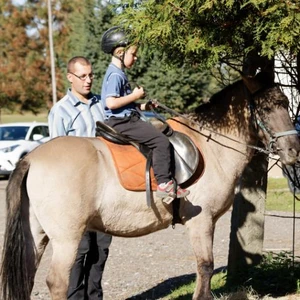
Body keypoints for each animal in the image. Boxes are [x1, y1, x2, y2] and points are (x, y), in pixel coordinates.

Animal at [1, 71, 300, 298]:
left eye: (286, 103)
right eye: (265, 108)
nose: (293, 150)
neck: (210, 146)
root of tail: (31, 158)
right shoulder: (201, 221)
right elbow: (205, 266)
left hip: (37, 235)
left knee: (29, 276)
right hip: (66, 238)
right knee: (58, 282)